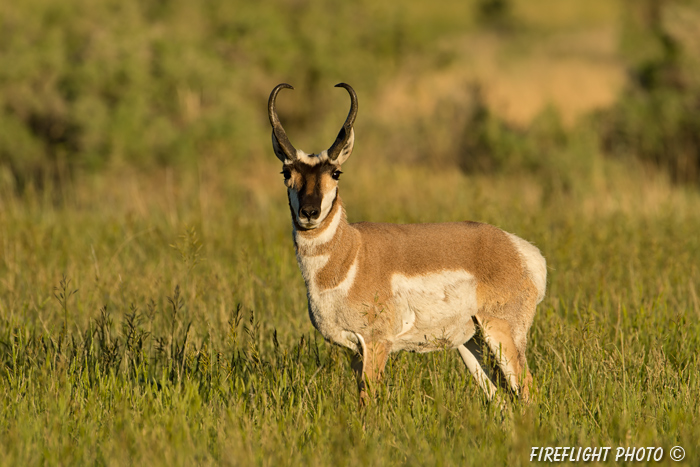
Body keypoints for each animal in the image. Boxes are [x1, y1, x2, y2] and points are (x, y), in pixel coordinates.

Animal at [268, 82, 548, 404]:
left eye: (335, 172)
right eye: (286, 172)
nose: (309, 213)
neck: (352, 253)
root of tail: (519, 249)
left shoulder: (376, 344)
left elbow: (369, 401)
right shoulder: (355, 351)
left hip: (502, 333)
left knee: (528, 391)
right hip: (472, 344)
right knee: (501, 399)